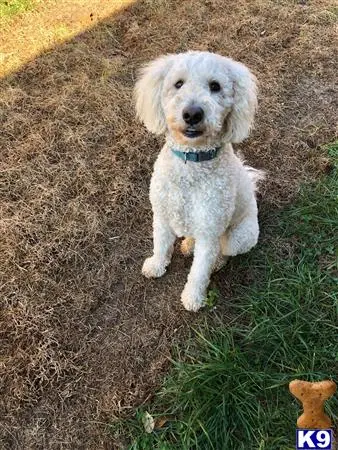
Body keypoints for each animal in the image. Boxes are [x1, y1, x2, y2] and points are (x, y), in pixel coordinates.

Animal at [135, 51, 264, 312]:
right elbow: (160, 245)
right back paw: (188, 244)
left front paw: (193, 298)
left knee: (224, 251)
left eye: (215, 86)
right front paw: (156, 265)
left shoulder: (209, 231)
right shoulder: (161, 216)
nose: (192, 113)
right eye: (178, 84)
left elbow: (199, 272)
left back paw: (215, 261)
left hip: (238, 237)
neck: (191, 162)